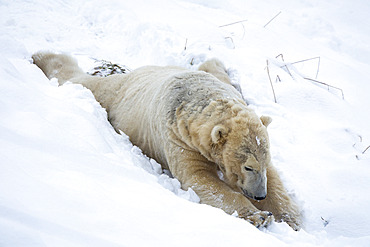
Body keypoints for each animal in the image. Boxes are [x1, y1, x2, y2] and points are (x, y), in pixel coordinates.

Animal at [33, 51, 302, 230]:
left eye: (263, 163)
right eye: (248, 166)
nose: (259, 196)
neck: (195, 98)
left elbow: (276, 180)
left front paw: (289, 217)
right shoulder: (178, 138)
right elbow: (199, 179)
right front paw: (258, 216)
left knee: (215, 68)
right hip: (113, 97)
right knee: (85, 83)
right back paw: (44, 58)